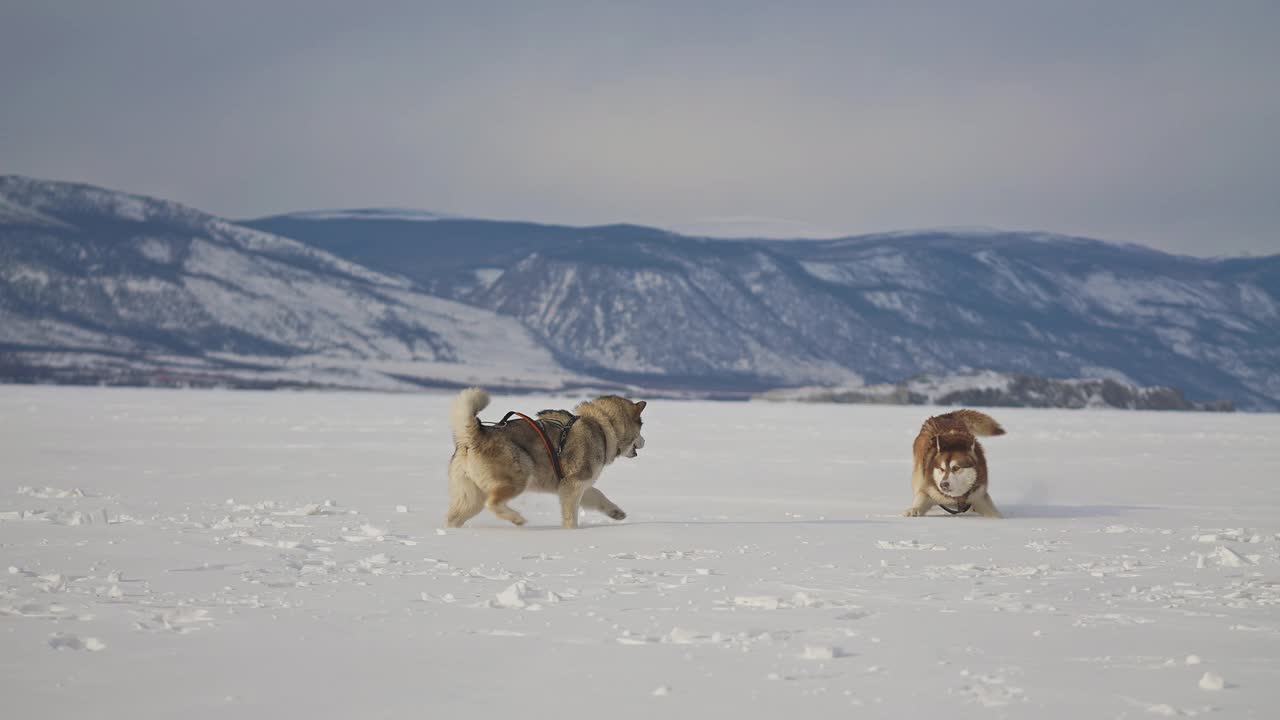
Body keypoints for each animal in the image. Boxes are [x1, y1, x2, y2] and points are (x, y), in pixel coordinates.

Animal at [450, 386, 650, 527]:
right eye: (641, 428)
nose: (645, 441)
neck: (600, 426)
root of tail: (476, 434)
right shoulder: (573, 484)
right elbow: (570, 516)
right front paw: (571, 532)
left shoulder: (581, 485)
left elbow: (598, 496)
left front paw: (617, 513)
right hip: (518, 475)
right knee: (492, 503)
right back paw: (517, 519)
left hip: (471, 495)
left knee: (454, 517)